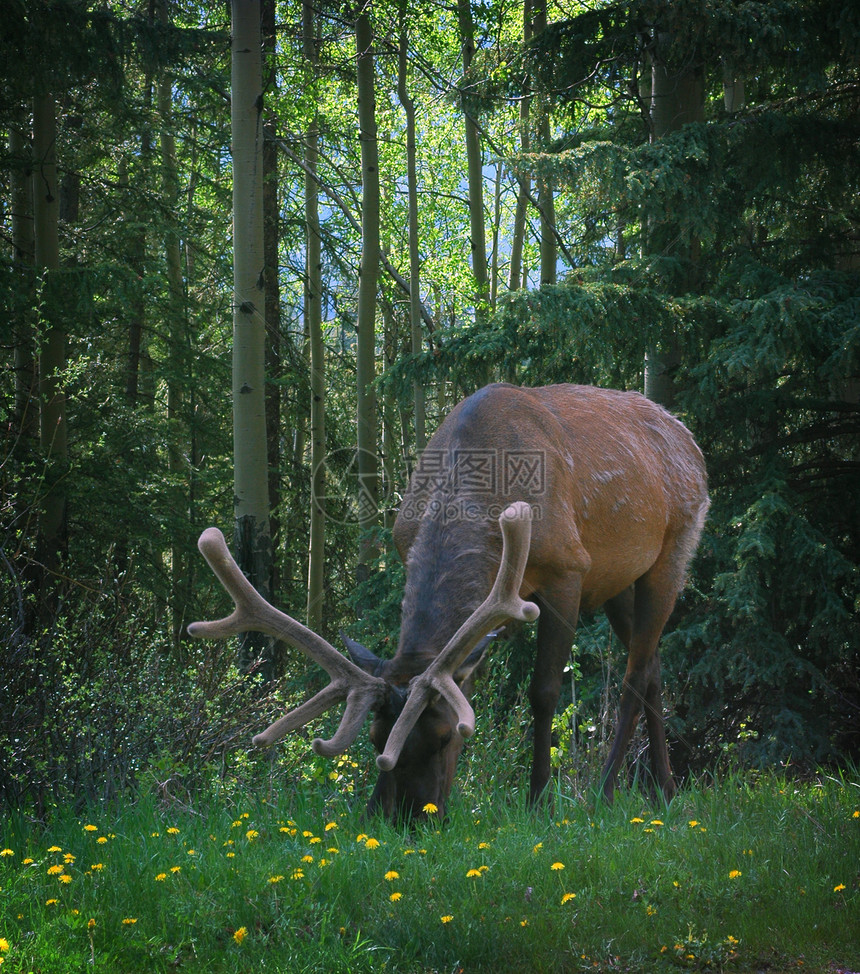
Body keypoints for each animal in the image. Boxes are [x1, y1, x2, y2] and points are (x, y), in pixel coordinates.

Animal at [191, 386, 708, 820]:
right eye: (375, 740)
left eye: (444, 738)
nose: (404, 819)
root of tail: (690, 440)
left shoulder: (568, 568)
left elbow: (544, 692)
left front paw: (539, 801)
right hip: (619, 579)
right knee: (654, 663)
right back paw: (665, 790)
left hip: (674, 546)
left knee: (635, 673)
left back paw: (606, 791)